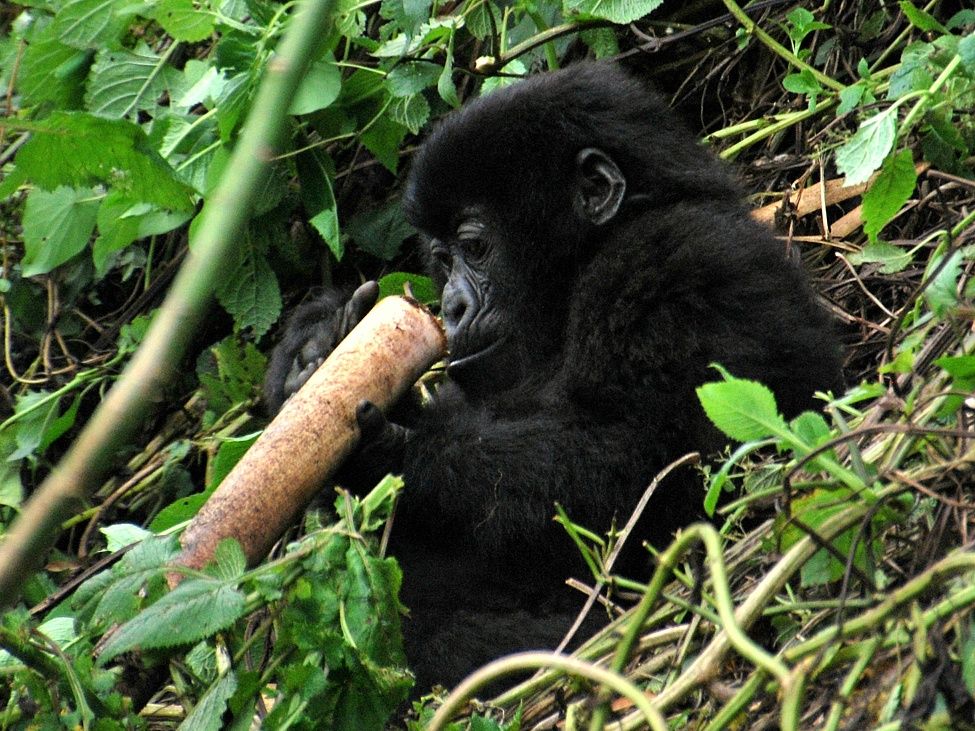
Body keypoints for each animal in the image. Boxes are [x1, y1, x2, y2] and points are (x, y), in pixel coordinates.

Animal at [264, 61, 840, 692]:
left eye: (474, 247)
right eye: (441, 260)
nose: (451, 307)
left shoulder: (676, 266)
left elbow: (647, 477)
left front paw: (404, 449)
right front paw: (314, 352)